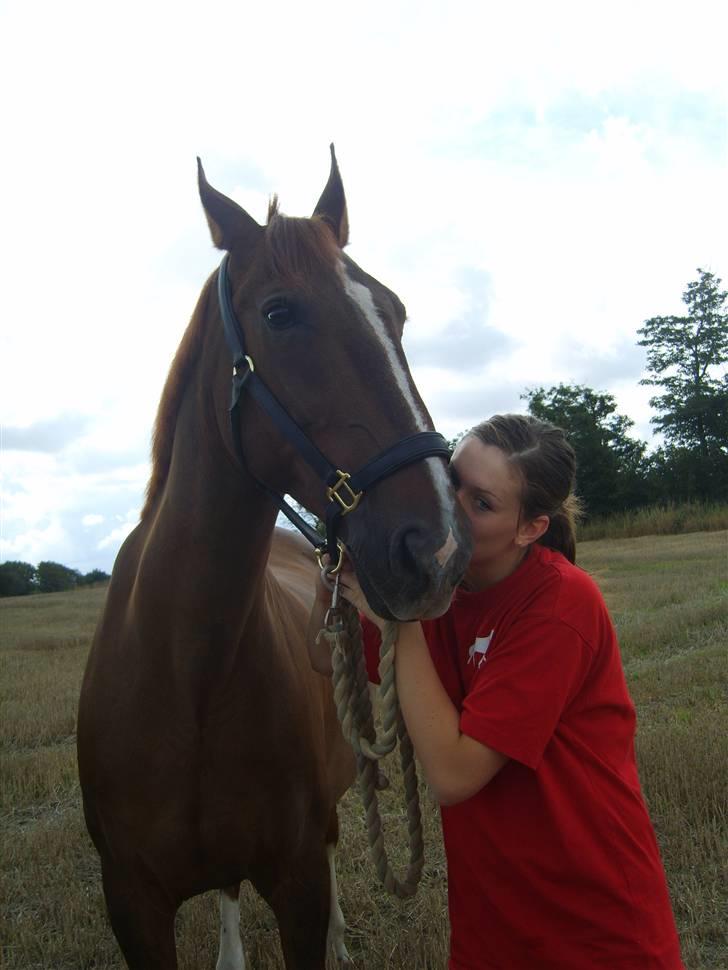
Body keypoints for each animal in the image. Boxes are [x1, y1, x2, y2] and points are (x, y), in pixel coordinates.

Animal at [77, 146, 470, 968]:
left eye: (396, 312)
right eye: (279, 313)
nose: (439, 546)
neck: (187, 672)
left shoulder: (295, 878)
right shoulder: (132, 902)